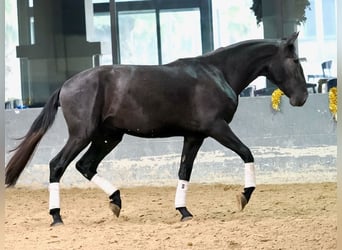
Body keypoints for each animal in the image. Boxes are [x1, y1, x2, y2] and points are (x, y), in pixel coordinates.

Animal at [4, 32, 308, 226]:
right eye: (295, 61)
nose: (302, 98)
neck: (217, 73)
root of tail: (66, 85)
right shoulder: (217, 128)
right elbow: (247, 153)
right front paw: (243, 196)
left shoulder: (194, 136)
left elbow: (184, 171)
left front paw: (184, 211)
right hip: (83, 135)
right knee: (58, 165)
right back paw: (56, 217)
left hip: (108, 136)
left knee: (85, 166)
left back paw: (116, 201)